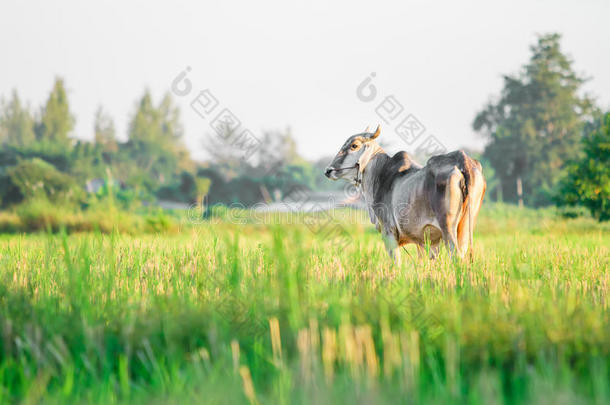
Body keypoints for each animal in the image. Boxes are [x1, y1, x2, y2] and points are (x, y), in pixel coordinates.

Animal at [324, 126, 484, 266]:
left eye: (354, 145)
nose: (328, 170)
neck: (379, 174)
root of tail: (463, 161)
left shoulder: (389, 231)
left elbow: (396, 263)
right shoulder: (426, 241)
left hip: (448, 228)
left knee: (455, 255)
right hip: (465, 228)